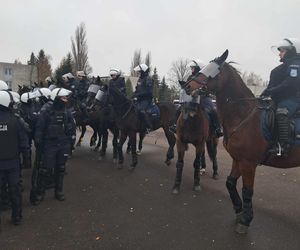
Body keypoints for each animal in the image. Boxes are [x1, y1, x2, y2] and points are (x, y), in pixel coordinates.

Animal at [184, 49, 300, 234]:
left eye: (213, 69)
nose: (188, 86)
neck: (243, 115)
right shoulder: (238, 160)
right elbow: (230, 183)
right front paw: (239, 210)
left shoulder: (248, 163)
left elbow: (247, 190)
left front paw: (245, 220)